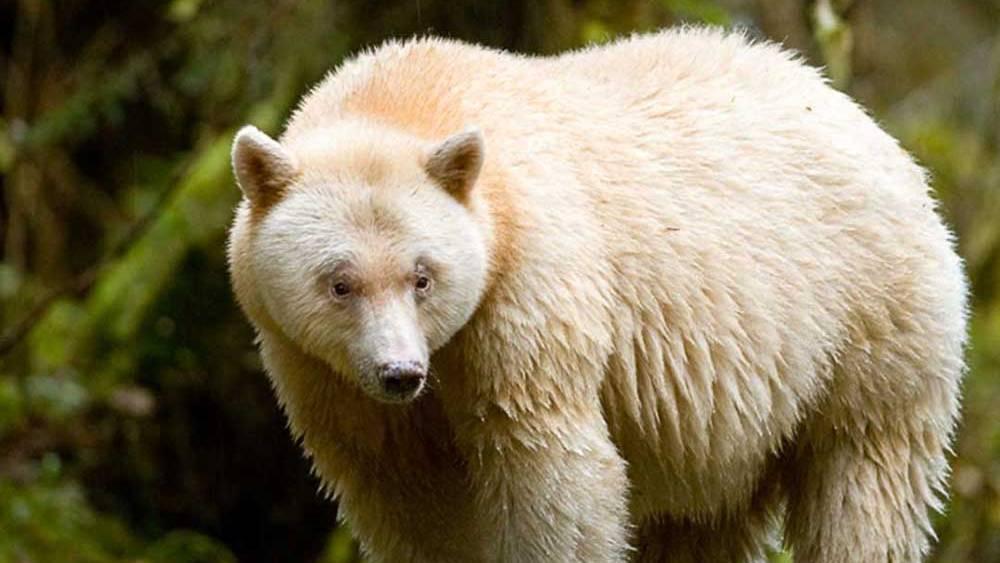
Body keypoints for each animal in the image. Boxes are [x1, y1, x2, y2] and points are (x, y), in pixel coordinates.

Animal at [229, 27, 968, 563]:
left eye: (423, 275)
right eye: (339, 281)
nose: (400, 372)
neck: (408, 98)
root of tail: (867, 123)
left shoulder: (528, 289)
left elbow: (549, 464)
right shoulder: (317, 367)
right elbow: (407, 491)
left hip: (865, 320)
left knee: (863, 481)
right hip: (731, 429)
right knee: (702, 524)